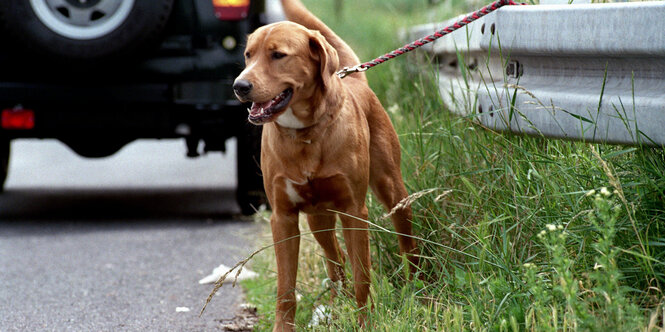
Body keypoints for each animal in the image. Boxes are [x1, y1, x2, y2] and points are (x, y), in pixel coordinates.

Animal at [233, 0, 418, 328]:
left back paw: (419, 285)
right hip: (317, 218)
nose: (239, 85)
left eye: (278, 55)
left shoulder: (354, 211)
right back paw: (333, 307)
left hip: (393, 190)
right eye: (248, 55)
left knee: (406, 244)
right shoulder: (283, 217)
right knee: (336, 259)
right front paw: (283, 328)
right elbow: (285, 289)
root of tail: (353, 76)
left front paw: (365, 323)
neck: (305, 134)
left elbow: (362, 277)